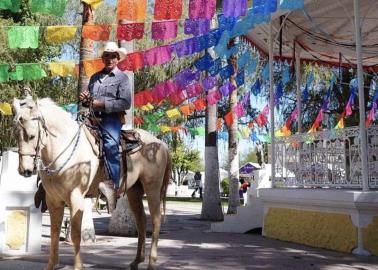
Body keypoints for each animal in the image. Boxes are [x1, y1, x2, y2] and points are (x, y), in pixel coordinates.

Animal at [11, 97, 171, 270]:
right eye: (16, 134)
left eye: (32, 135)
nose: (25, 170)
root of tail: (160, 143)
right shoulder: (53, 200)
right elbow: (54, 232)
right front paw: (51, 265)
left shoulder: (76, 197)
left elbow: (75, 234)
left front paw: (78, 266)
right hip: (134, 191)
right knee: (141, 221)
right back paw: (136, 260)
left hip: (152, 187)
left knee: (155, 220)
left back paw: (151, 262)